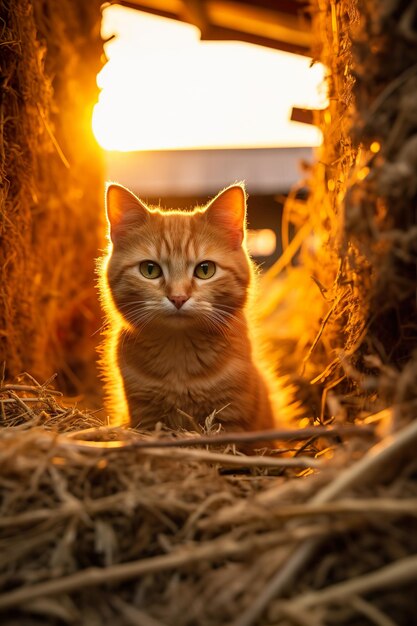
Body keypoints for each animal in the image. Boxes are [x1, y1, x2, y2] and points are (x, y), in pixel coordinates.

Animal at [98, 183, 280, 432]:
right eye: (149, 270)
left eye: (205, 270)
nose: (178, 297)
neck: (179, 358)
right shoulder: (145, 416)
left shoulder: (230, 417)